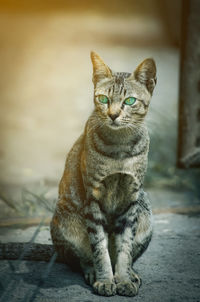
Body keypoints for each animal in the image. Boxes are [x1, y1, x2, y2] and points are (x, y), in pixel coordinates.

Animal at [50, 50, 156, 296]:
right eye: (103, 99)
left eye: (129, 101)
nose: (113, 115)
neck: (120, 149)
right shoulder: (93, 198)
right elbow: (99, 248)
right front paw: (106, 279)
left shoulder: (131, 199)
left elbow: (125, 248)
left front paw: (123, 279)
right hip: (65, 220)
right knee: (80, 258)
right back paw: (92, 273)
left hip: (146, 213)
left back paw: (132, 274)